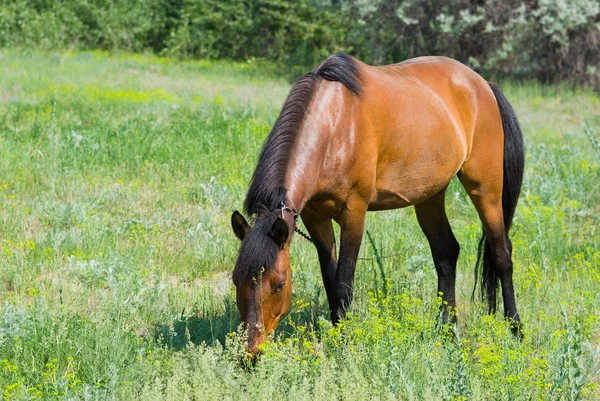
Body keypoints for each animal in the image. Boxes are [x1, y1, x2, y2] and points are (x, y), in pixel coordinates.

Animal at [232, 52, 524, 354]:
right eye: (235, 279)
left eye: (279, 285)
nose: (249, 352)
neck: (334, 125)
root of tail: (483, 85)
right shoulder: (316, 218)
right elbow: (330, 280)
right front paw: (338, 333)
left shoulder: (354, 213)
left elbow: (343, 283)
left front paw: (344, 344)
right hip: (430, 195)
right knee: (446, 252)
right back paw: (446, 330)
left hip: (486, 189)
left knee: (502, 254)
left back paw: (515, 328)